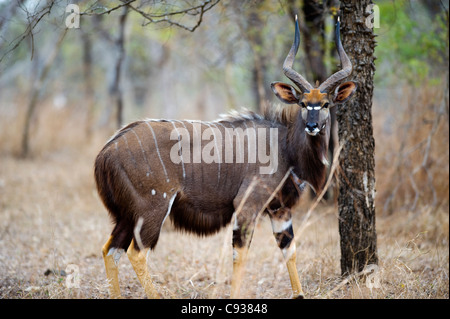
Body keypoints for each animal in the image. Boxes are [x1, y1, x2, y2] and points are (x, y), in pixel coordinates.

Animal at [96, 16, 358, 298]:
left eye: (326, 104)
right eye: (302, 103)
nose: (312, 126)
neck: (284, 146)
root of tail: (106, 152)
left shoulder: (280, 209)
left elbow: (289, 251)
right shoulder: (247, 205)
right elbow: (240, 255)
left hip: (126, 215)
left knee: (110, 249)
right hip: (152, 209)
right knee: (136, 252)